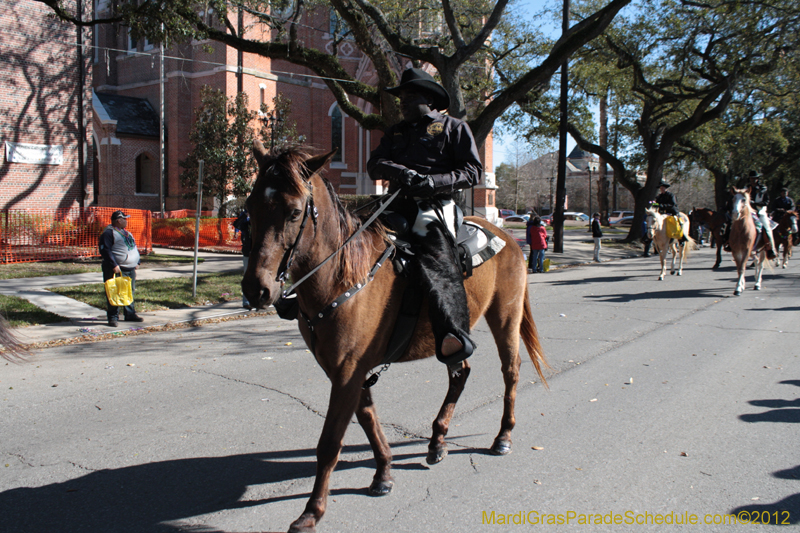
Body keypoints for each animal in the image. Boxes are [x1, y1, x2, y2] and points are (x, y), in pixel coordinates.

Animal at [241, 142, 548, 532]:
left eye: (295, 211)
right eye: (250, 206)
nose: (256, 290)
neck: (342, 277)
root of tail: (506, 235)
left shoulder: (347, 372)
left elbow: (330, 441)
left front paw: (312, 511)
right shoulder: (347, 370)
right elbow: (368, 418)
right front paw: (383, 474)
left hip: (505, 317)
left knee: (511, 371)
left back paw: (503, 436)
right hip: (451, 333)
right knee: (460, 372)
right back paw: (437, 440)